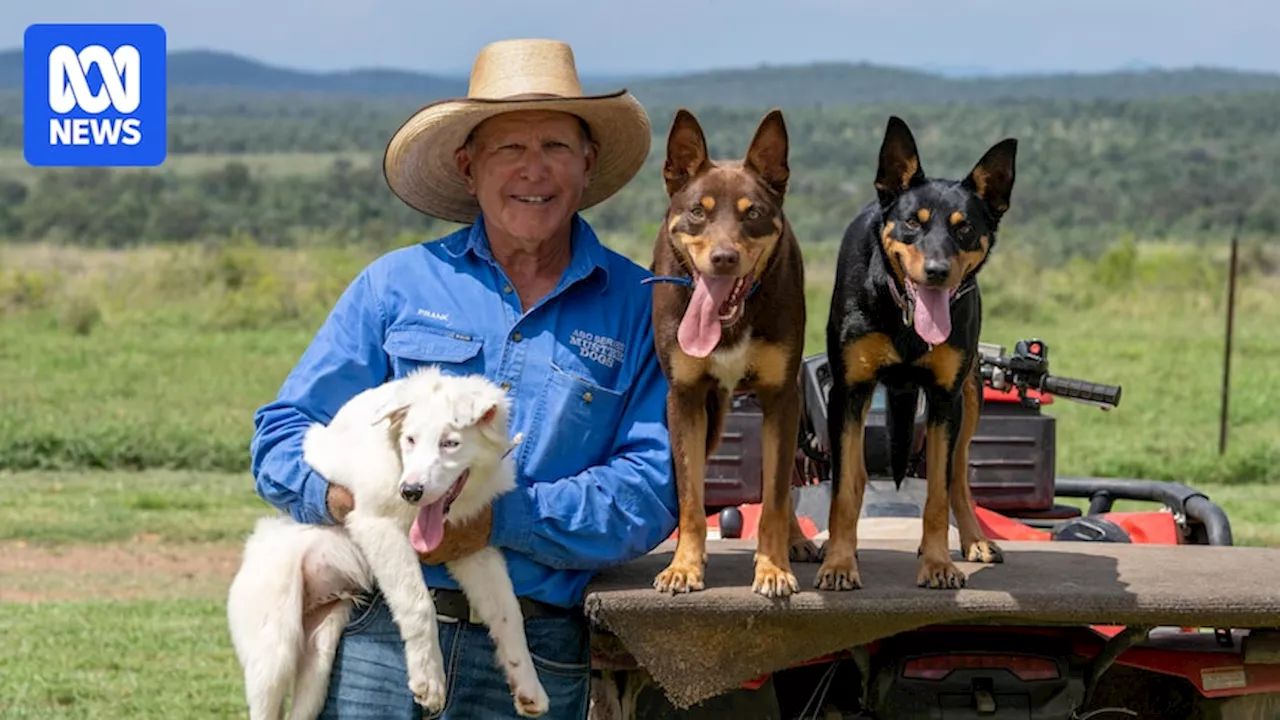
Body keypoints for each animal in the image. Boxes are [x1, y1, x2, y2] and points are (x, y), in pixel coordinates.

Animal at [227, 366, 547, 712]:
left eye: (451, 443)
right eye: (410, 439)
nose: (410, 491)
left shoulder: (472, 548)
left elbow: (508, 612)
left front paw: (528, 684)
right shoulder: (377, 525)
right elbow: (418, 602)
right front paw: (428, 680)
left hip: (319, 660)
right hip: (275, 651)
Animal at [650, 106, 819, 597]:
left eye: (753, 213)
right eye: (697, 212)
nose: (723, 258)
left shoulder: (780, 398)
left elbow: (777, 497)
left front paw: (773, 568)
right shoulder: (685, 399)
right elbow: (690, 497)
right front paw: (684, 567)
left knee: (782, 483)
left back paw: (796, 541)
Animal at [819, 116, 1018, 589]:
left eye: (964, 228)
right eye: (913, 222)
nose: (937, 271)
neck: (906, 316)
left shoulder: (946, 399)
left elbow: (938, 495)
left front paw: (938, 564)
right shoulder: (849, 391)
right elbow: (846, 489)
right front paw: (838, 564)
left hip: (971, 397)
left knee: (959, 476)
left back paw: (974, 540)